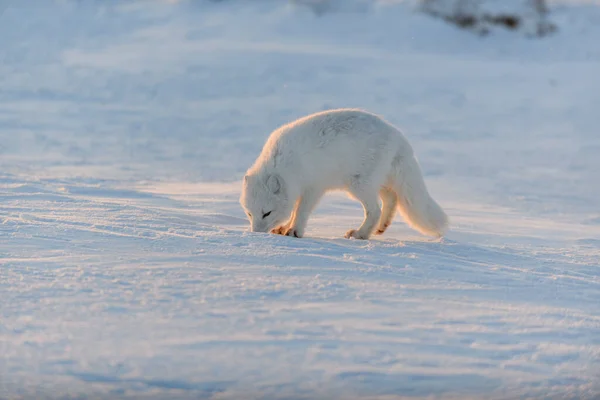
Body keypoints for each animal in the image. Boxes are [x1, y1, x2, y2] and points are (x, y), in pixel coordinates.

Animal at [241, 108, 448, 239]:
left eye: (267, 213)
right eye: (249, 213)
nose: (256, 233)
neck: (284, 163)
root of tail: (399, 136)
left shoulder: (314, 188)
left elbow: (300, 211)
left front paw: (294, 231)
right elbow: (293, 210)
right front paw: (284, 227)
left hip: (358, 185)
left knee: (375, 210)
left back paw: (361, 234)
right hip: (375, 182)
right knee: (391, 198)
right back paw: (381, 228)